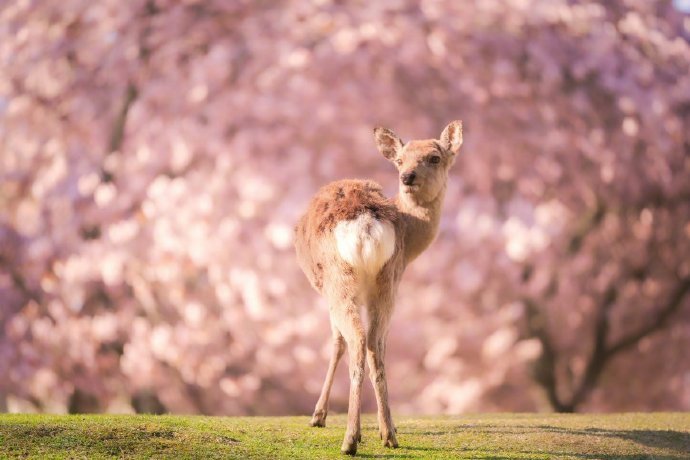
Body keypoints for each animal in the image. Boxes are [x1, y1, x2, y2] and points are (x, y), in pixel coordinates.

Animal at [292, 120, 462, 454]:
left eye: (435, 157)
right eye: (400, 160)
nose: (407, 176)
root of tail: (367, 225)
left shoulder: (327, 293)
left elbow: (336, 343)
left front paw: (318, 416)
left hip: (338, 281)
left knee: (357, 340)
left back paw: (350, 439)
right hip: (387, 282)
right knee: (375, 345)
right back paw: (389, 434)